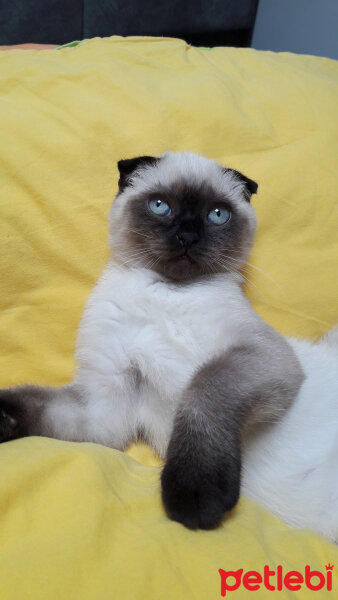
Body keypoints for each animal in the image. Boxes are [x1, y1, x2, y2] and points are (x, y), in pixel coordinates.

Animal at [0, 151, 336, 544]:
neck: (167, 293)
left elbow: (203, 390)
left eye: (216, 214)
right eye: (161, 206)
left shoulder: (261, 358)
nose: (187, 237)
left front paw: (193, 500)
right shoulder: (105, 406)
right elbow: (35, 406)